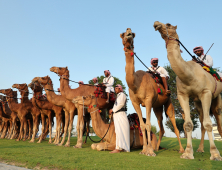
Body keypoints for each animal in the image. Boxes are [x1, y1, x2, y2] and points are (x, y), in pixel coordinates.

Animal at [119, 28, 184, 157]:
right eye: (123, 34)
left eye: (132, 34)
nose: (129, 31)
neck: (136, 83)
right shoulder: (135, 102)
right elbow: (142, 125)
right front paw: (144, 149)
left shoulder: (148, 100)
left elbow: (148, 124)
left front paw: (149, 151)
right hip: (157, 107)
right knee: (161, 125)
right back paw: (157, 148)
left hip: (168, 102)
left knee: (175, 125)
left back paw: (181, 150)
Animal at [153, 21, 222, 161]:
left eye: (168, 24)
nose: (156, 23)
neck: (189, 75)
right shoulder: (182, 95)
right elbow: (188, 124)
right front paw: (187, 153)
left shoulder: (206, 92)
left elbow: (209, 124)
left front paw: (215, 154)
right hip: (197, 103)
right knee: (201, 121)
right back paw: (200, 149)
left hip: (217, 97)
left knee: (218, 120)